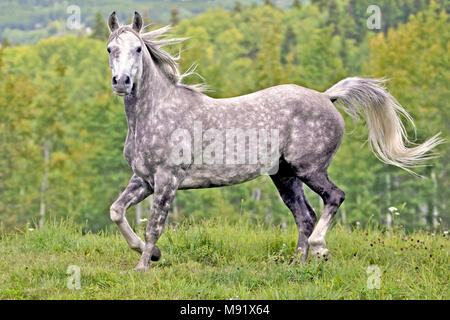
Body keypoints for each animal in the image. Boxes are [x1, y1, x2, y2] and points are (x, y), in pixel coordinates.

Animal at [106, 13, 442, 272]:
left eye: (138, 49)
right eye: (110, 49)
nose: (121, 82)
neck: (157, 112)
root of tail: (326, 97)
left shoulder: (168, 179)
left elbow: (154, 225)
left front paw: (143, 266)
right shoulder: (144, 180)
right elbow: (117, 211)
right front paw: (149, 254)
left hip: (310, 169)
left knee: (334, 198)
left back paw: (319, 249)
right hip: (285, 176)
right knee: (305, 217)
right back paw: (297, 266)